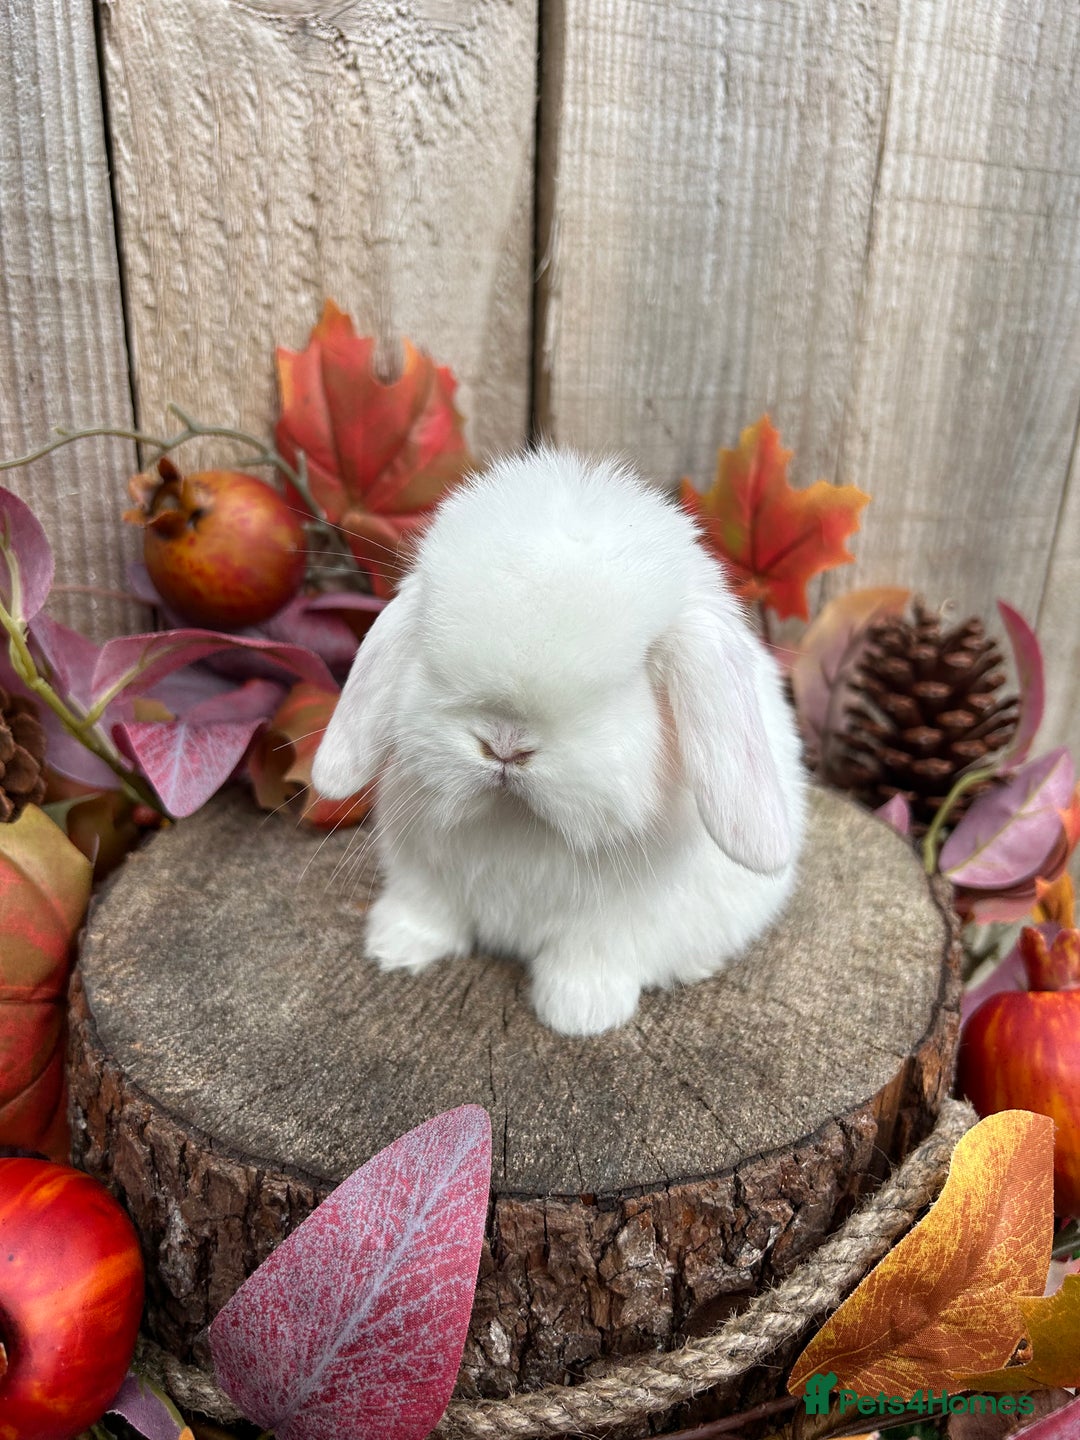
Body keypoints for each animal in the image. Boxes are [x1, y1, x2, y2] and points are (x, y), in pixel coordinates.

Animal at [312, 447, 807, 1037]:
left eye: (634, 676)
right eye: (431, 652)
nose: (505, 745)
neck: (520, 823)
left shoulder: (619, 923)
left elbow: (593, 956)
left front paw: (580, 1013)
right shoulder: (423, 873)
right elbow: (428, 910)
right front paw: (396, 948)